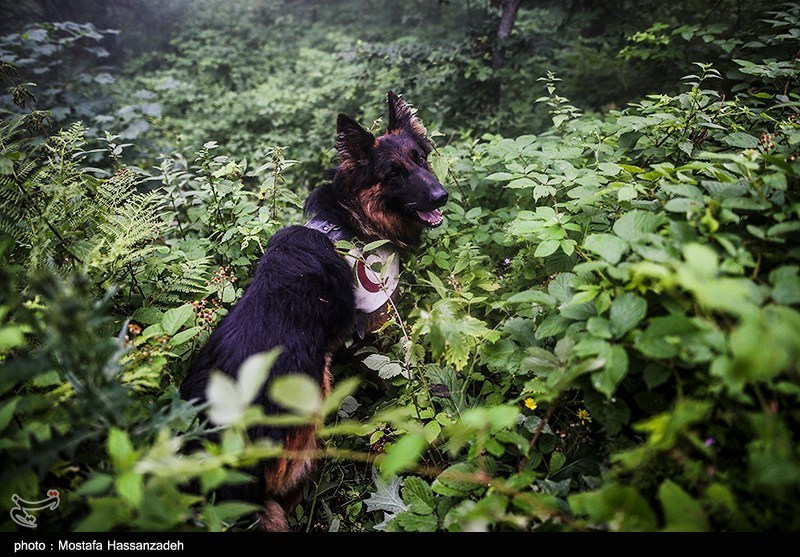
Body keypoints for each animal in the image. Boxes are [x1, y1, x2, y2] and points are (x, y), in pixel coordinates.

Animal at [177, 91, 446, 528]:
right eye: (393, 173)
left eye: (421, 159)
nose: (441, 196)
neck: (351, 221)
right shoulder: (378, 316)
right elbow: (389, 367)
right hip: (304, 432)